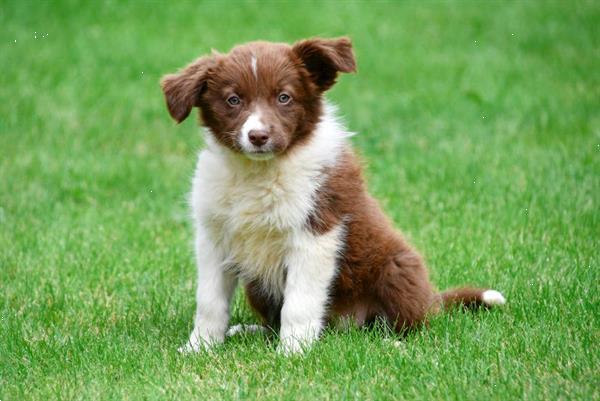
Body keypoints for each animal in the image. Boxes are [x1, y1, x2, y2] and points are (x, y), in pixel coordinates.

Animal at [161, 37, 506, 354]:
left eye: (284, 97)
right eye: (233, 100)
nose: (258, 136)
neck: (258, 173)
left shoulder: (316, 233)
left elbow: (299, 302)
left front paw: (292, 352)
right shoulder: (214, 237)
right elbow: (209, 300)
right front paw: (199, 347)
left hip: (397, 268)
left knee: (412, 323)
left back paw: (392, 343)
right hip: (257, 287)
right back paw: (250, 331)